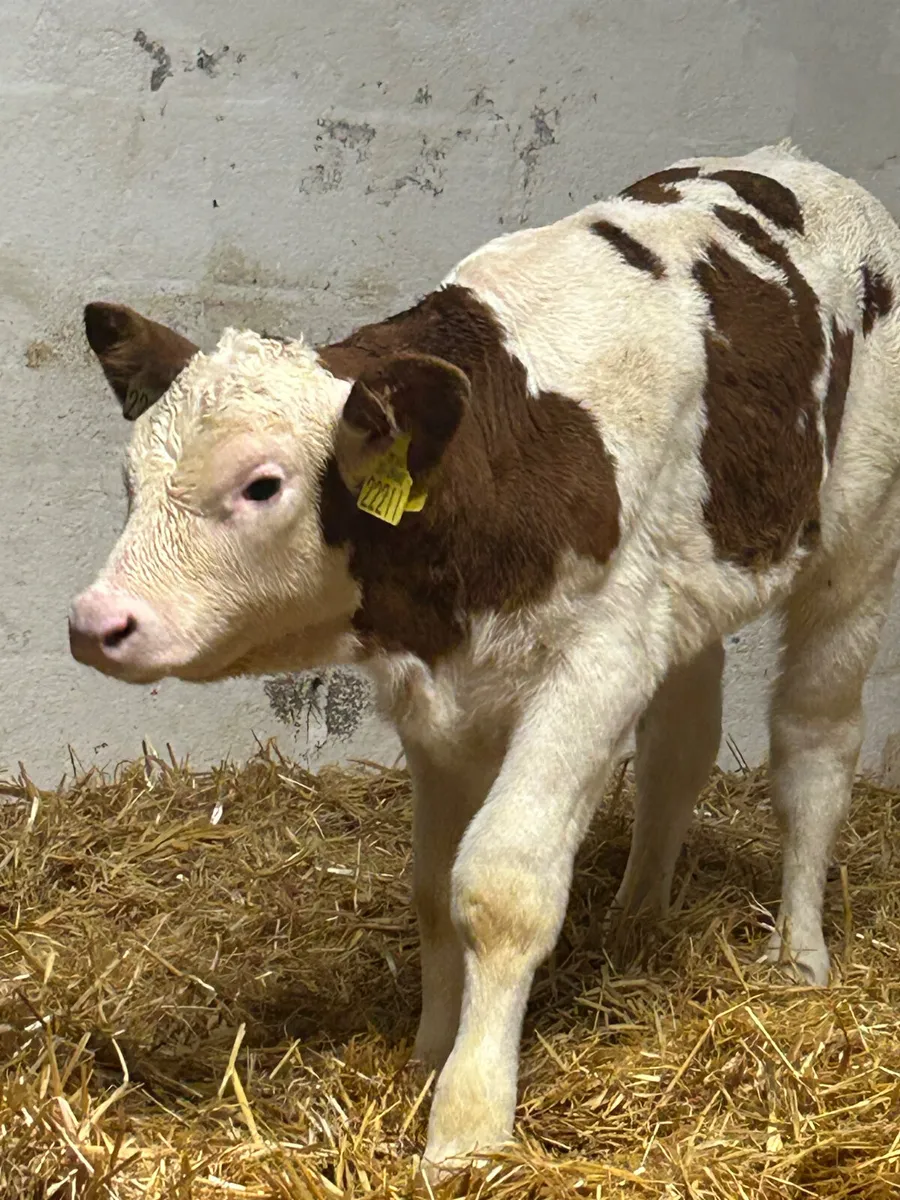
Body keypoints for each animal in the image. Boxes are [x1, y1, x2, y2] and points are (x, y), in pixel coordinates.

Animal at [68, 142, 900, 1175]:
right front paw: (431, 1047)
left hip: (857, 539)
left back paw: (797, 956)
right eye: (129, 479)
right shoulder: (437, 696)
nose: (97, 621)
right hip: (693, 588)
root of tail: (801, 168)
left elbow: (501, 887)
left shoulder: (597, 662)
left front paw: (467, 1121)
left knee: (813, 747)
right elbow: (433, 887)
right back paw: (638, 918)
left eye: (262, 485)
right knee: (680, 751)